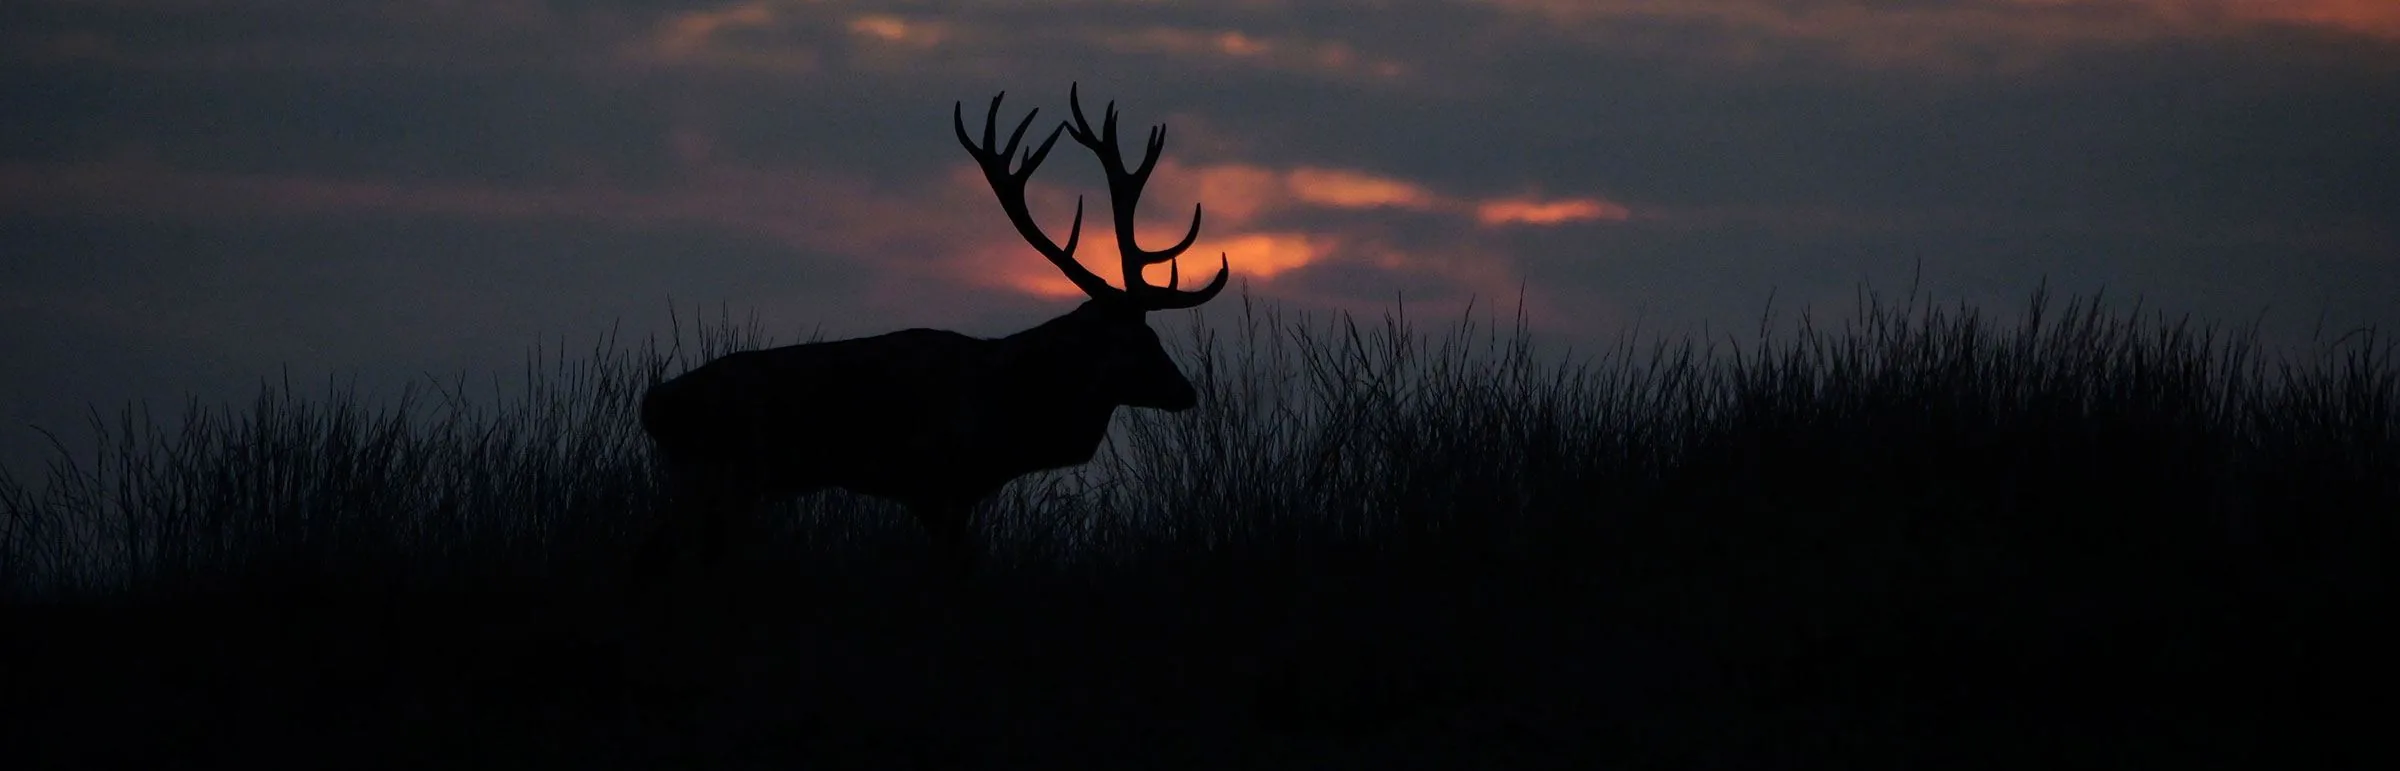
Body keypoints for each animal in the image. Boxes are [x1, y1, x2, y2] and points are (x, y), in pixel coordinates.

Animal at [634, 85, 1230, 580]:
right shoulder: (933, 480)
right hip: (722, 472)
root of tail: (654, 403)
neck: (1013, 413)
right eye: (1139, 342)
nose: (1185, 391)